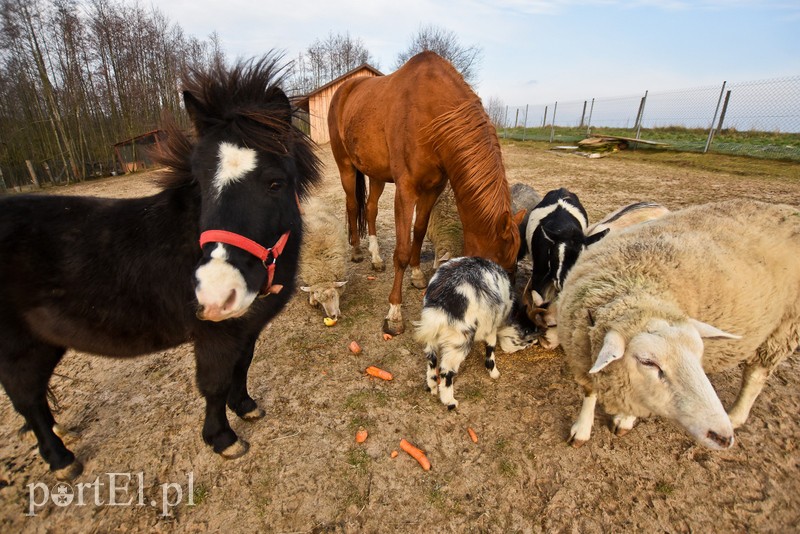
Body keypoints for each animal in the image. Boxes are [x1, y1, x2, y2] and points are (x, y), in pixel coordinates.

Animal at [0, 56, 320, 484]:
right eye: (200, 183)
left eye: (275, 183)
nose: (215, 294)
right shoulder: (214, 336)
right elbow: (215, 384)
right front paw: (223, 438)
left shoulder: (245, 328)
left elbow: (242, 367)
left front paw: (246, 406)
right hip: (18, 348)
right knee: (28, 400)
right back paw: (61, 459)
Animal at [326, 51, 524, 336]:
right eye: (493, 272)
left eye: (513, 267)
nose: (499, 325)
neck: (433, 116)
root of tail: (344, 89)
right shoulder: (406, 191)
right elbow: (401, 251)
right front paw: (394, 314)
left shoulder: (433, 189)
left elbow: (418, 232)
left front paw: (417, 275)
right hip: (346, 167)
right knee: (353, 205)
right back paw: (356, 251)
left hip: (376, 174)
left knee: (371, 209)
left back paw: (376, 257)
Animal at [412, 258, 536, 412]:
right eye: (527, 334)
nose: (534, 343)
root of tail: (441, 305)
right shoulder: (491, 327)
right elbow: (491, 348)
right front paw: (494, 373)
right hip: (459, 341)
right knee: (446, 372)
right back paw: (450, 402)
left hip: (432, 338)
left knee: (431, 362)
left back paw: (433, 388)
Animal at [556, 199, 800, 450]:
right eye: (648, 361)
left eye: (700, 354)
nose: (722, 437)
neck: (635, 289)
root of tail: (787, 210)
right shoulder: (582, 352)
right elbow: (590, 392)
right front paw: (582, 429)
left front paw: (625, 419)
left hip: (784, 328)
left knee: (756, 375)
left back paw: (735, 416)